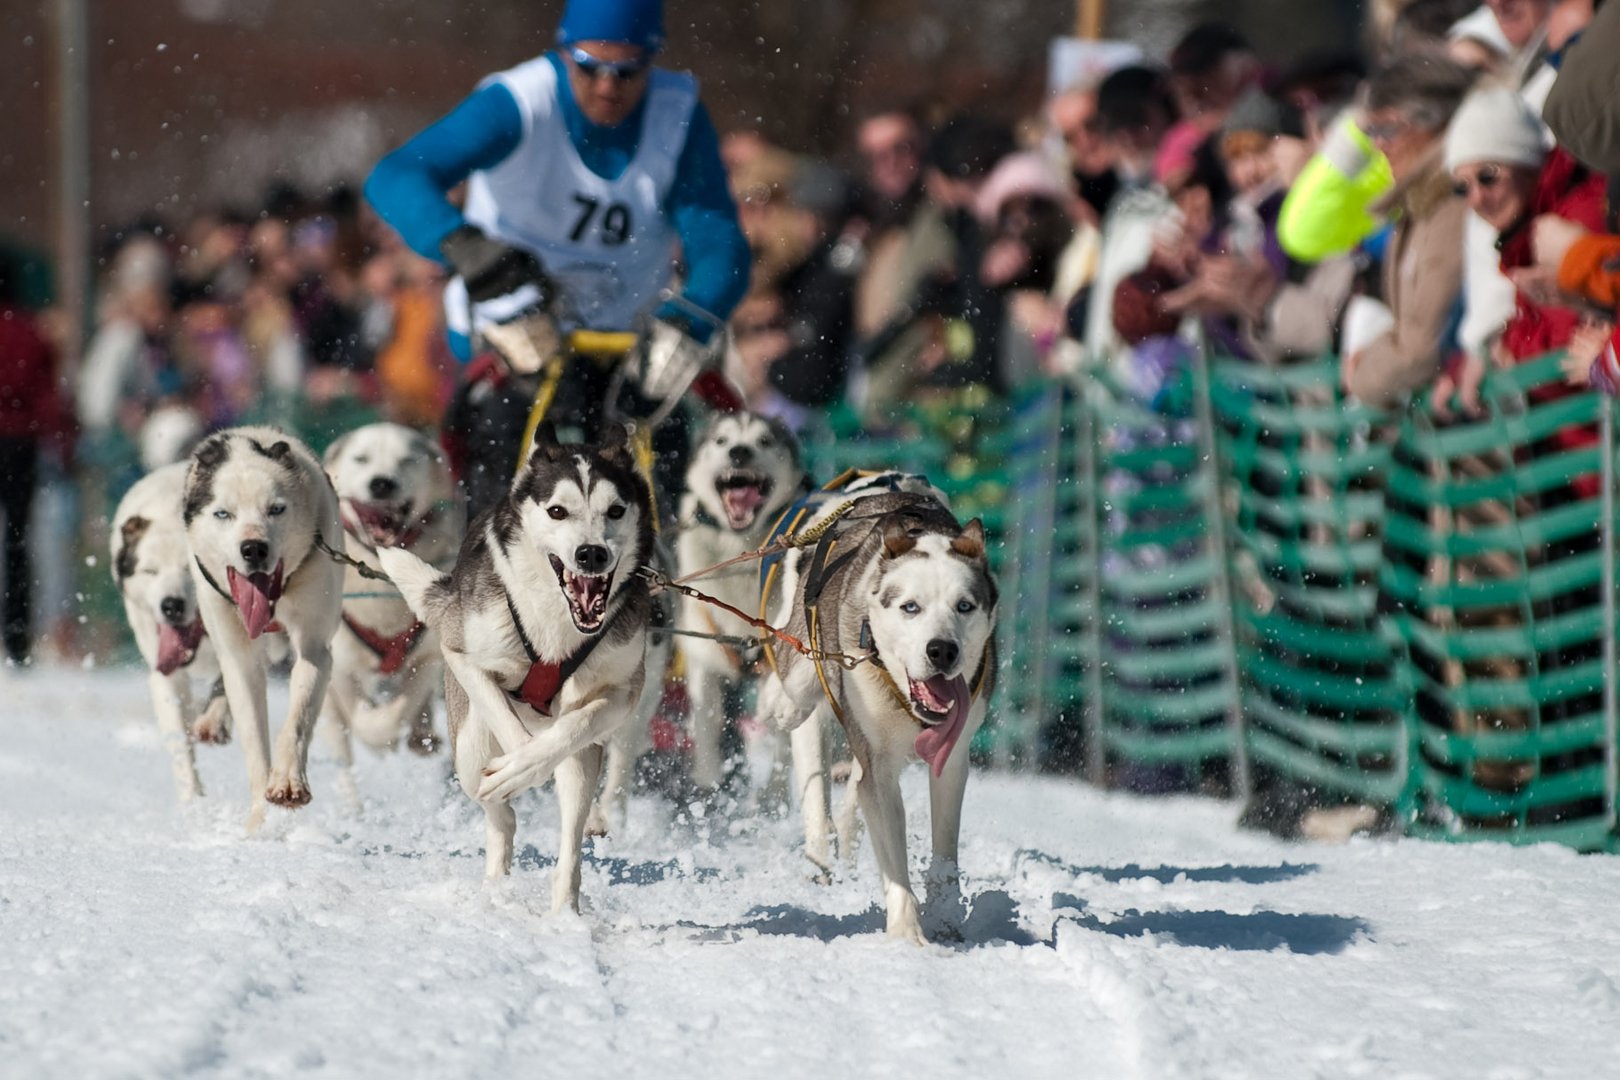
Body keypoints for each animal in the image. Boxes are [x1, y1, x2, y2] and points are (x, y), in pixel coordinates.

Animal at [183, 427, 345, 835]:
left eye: (276, 509)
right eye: (223, 513)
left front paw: (287, 780)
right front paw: (260, 821)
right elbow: (254, 738)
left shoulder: (314, 647)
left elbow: (297, 718)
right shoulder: (238, 655)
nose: (254, 548)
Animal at [670, 414, 803, 793]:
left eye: (764, 441)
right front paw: (708, 787)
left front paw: (771, 800)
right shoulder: (705, 660)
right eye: (721, 440)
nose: (739, 452)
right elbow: (707, 727)